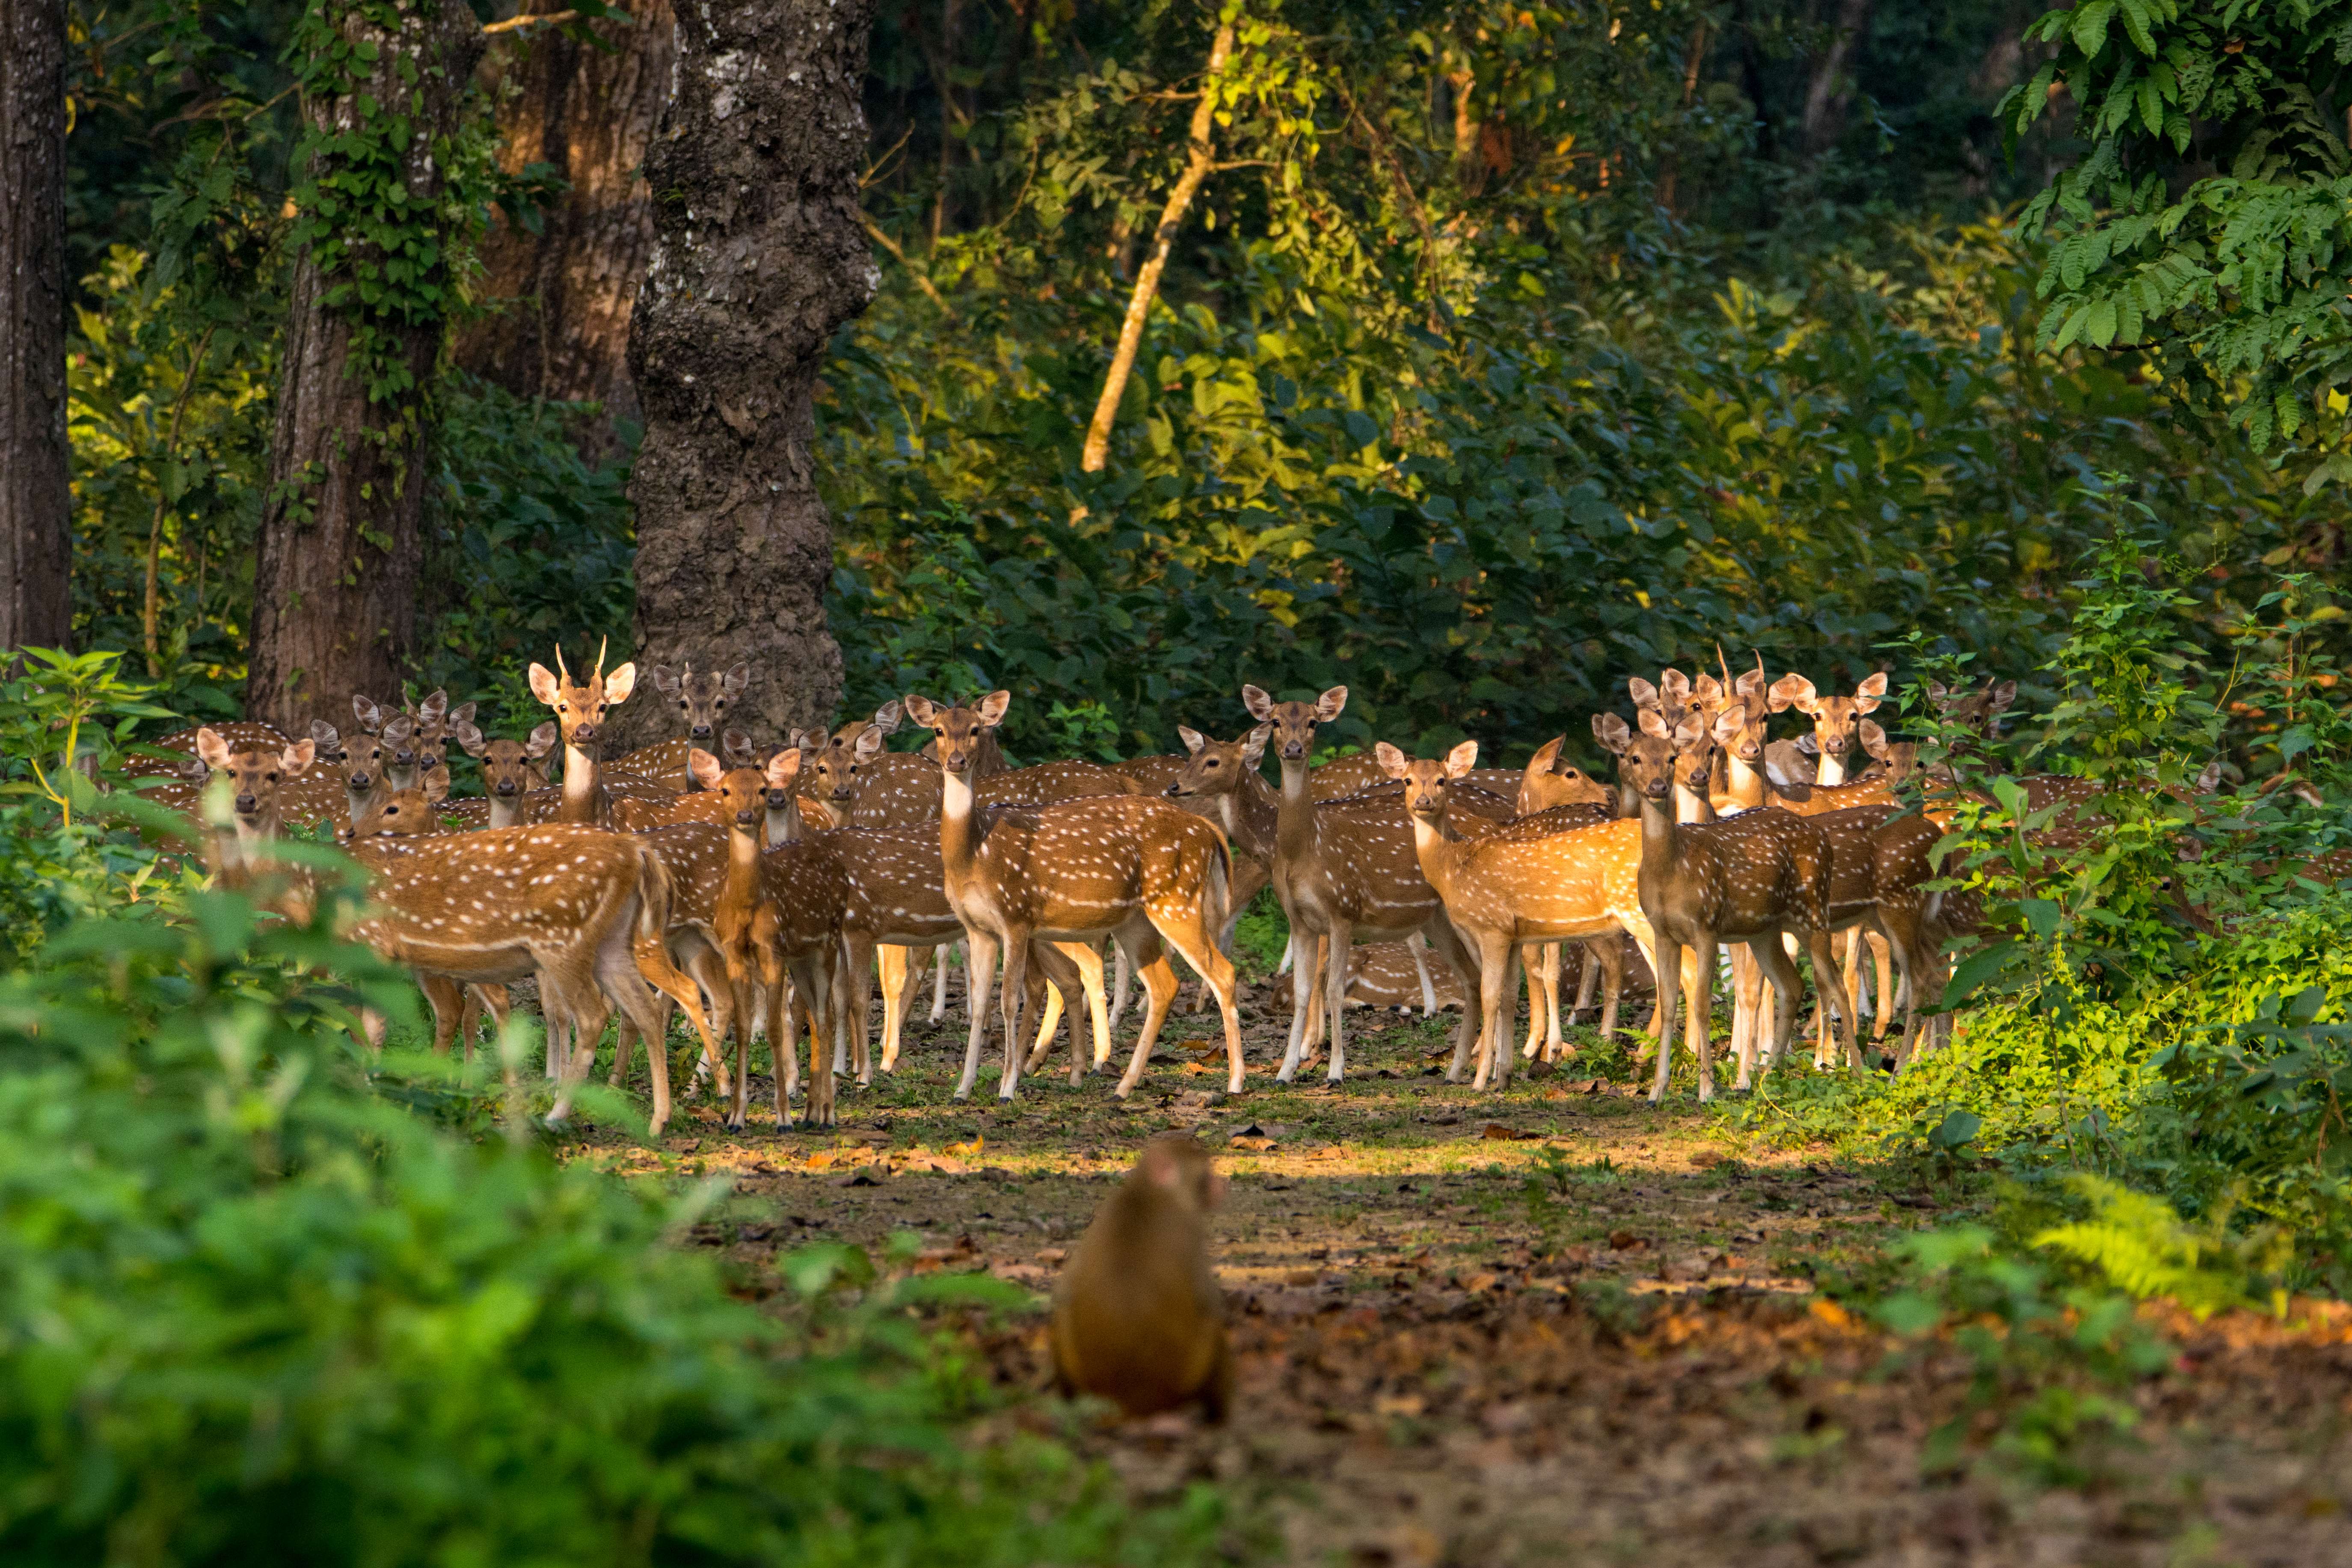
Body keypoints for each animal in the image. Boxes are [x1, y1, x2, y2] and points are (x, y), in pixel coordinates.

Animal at [906, 691, 1245, 1104]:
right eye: (938, 730)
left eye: (975, 729)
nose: (955, 760)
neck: (973, 854)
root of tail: (1208, 830)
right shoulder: (978, 927)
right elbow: (979, 1005)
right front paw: (963, 1088)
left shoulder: (1016, 915)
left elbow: (1009, 1001)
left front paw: (1007, 1087)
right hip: (1138, 920)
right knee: (1164, 985)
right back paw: (1122, 1086)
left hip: (1176, 900)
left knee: (1223, 973)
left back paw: (1234, 1082)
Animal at [1239, 684, 1485, 1085]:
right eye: (1275, 721)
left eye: (1313, 722)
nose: (1293, 749)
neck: (1304, 851)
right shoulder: (1299, 920)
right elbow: (1303, 991)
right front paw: (1285, 1071)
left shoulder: (1343, 909)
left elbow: (1334, 991)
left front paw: (1336, 1070)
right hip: (1439, 921)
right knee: (1475, 980)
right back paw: (1458, 1068)